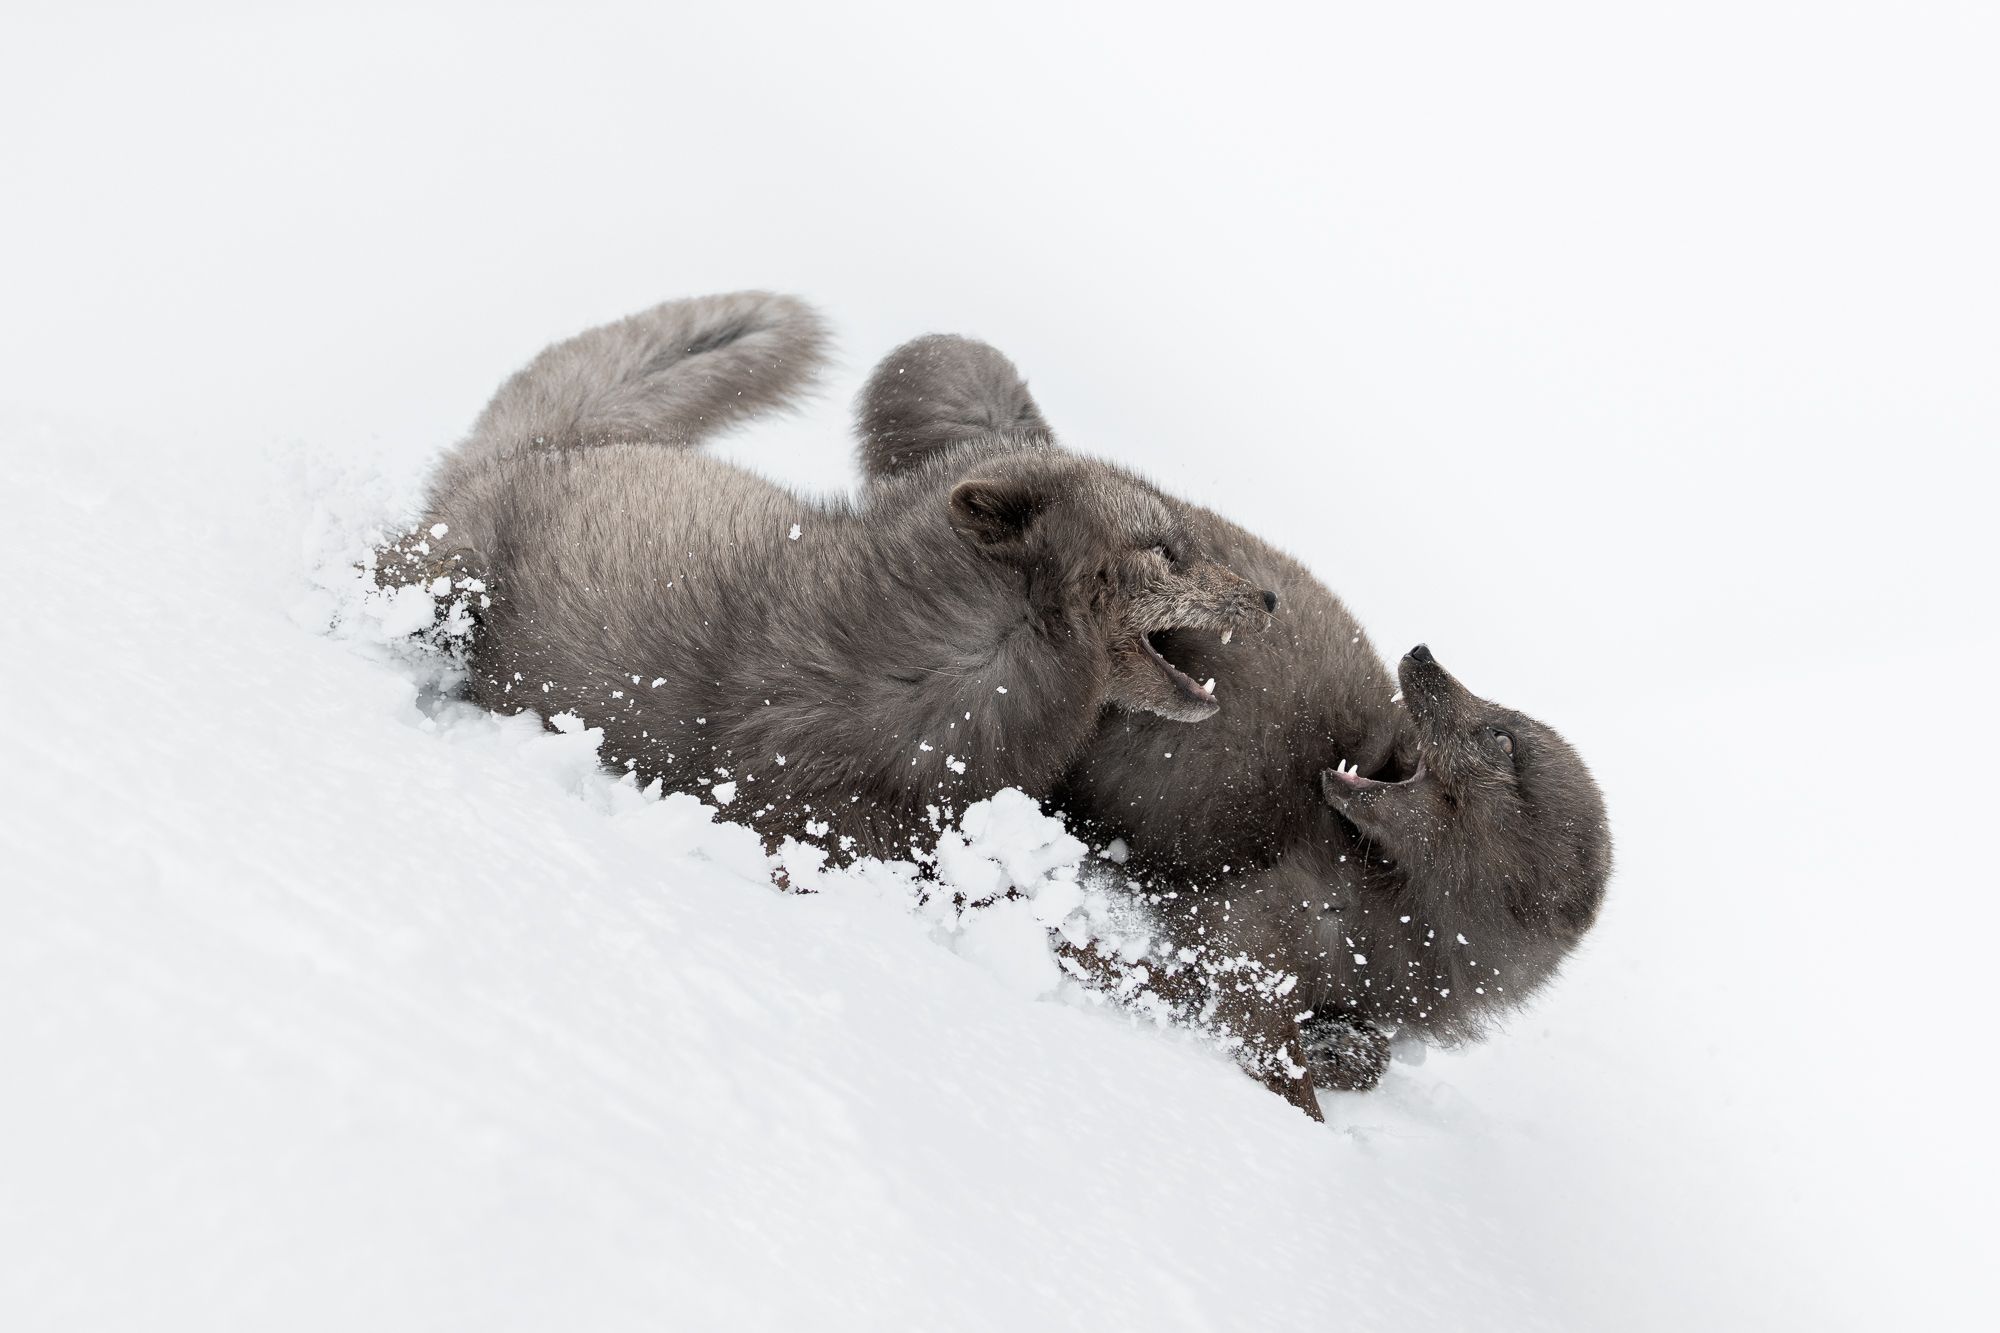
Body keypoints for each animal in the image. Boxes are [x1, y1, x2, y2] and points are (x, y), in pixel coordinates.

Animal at [852, 333, 1613, 1118]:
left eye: (1502, 737)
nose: (1423, 653)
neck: (1404, 923)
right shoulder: (1256, 921)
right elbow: (1263, 1029)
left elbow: (1368, 1055)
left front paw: (1337, 1048)